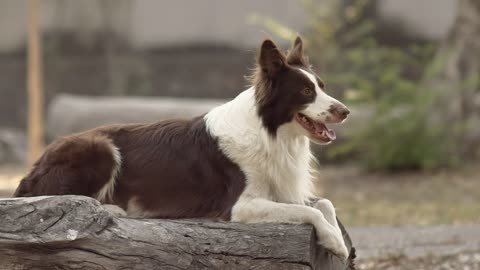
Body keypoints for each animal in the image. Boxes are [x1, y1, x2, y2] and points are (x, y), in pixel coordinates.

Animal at [15, 37, 350, 258]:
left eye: (322, 86)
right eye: (305, 91)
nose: (345, 111)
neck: (270, 132)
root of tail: (35, 165)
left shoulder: (284, 190)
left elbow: (324, 203)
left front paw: (337, 238)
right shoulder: (240, 205)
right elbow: (310, 211)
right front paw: (333, 240)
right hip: (99, 148)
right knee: (63, 196)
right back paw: (113, 208)